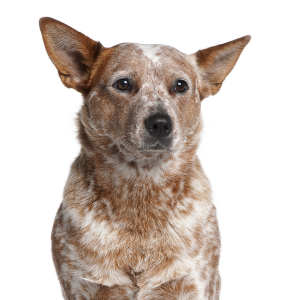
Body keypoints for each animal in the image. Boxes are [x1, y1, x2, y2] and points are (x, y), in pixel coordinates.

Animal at [39, 17, 251, 298]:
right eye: (123, 83)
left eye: (180, 85)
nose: (160, 123)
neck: (142, 187)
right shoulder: (79, 286)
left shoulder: (196, 283)